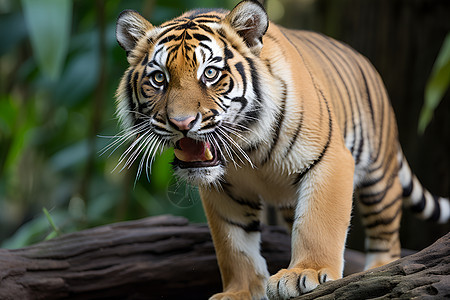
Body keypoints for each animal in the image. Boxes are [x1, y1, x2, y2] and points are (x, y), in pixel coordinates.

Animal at [114, 1, 448, 298]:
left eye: (210, 74)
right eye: (159, 78)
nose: (182, 123)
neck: (247, 146)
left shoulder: (331, 160)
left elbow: (318, 223)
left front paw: (305, 272)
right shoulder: (224, 189)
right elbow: (233, 245)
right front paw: (240, 292)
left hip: (379, 178)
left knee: (385, 238)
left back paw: (377, 269)